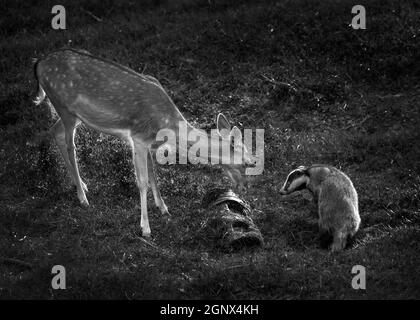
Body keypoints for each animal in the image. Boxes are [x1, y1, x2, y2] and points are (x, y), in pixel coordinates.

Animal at [32, 48, 256, 238]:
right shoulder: (138, 137)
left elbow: (153, 173)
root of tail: (39, 64)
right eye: (249, 162)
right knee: (71, 146)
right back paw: (82, 197)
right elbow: (142, 181)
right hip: (64, 106)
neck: (167, 125)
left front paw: (163, 208)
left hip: (74, 115)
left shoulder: (148, 141)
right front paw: (146, 228)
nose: (244, 188)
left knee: (54, 131)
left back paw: (82, 185)